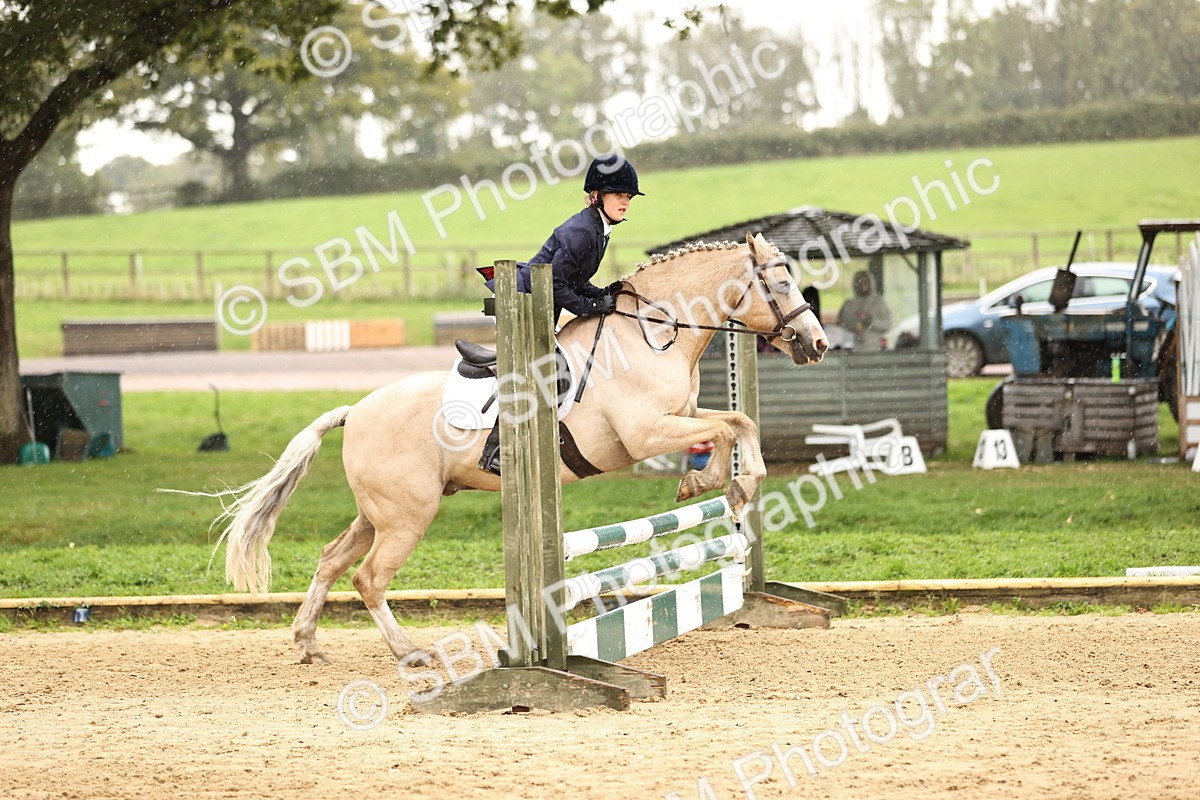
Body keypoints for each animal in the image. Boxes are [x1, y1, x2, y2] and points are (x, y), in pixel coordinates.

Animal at [214, 232, 828, 665]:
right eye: (780, 285)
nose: (817, 344)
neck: (652, 334)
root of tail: (356, 411)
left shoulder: (681, 416)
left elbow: (738, 421)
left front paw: (737, 484)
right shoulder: (644, 434)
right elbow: (724, 434)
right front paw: (709, 484)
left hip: (379, 513)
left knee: (331, 559)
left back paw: (308, 643)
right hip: (408, 515)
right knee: (369, 578)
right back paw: (410, 652)